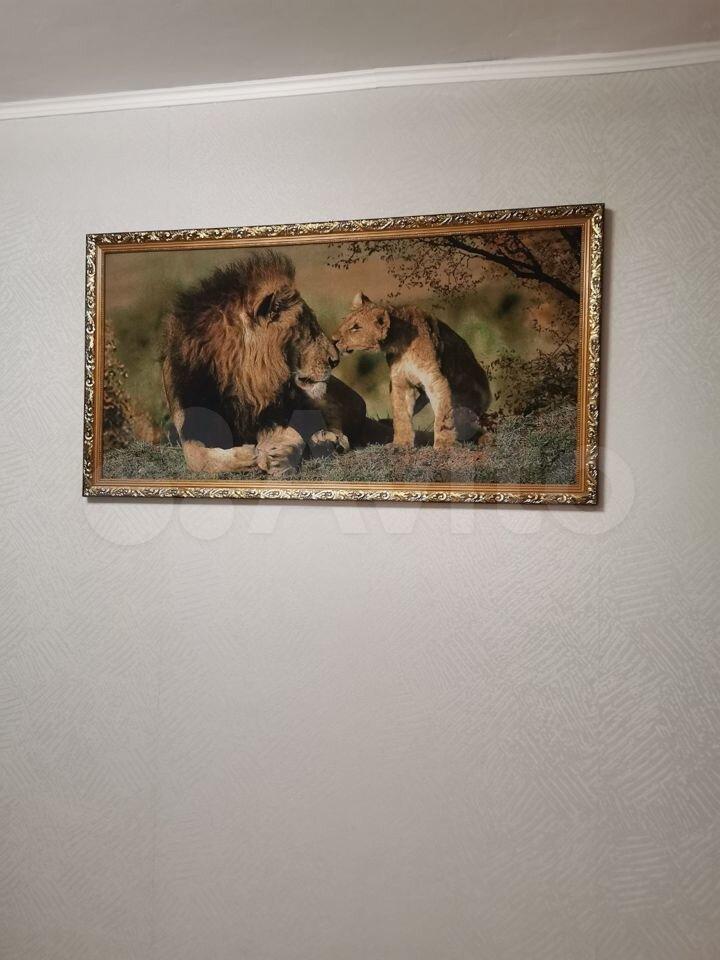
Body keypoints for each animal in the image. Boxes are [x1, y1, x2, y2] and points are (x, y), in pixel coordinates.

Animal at [162, 253, 364, 476]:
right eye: (309, 329)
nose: (335, 360)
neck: (240, 381)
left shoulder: (277, 414)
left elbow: (291, 433)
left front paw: (279, 455)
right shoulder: (189, 420)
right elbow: (195, 456)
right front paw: (246, 456)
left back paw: (329, 440)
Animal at [332, 292, 492, 449]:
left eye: (355, 327)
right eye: (344, 321)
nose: (333, 340)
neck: (399, 342)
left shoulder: (434, 379)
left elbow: (443, 414)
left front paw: (444, 443)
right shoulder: (400, 381)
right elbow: (401, 414)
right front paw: (401, 443)